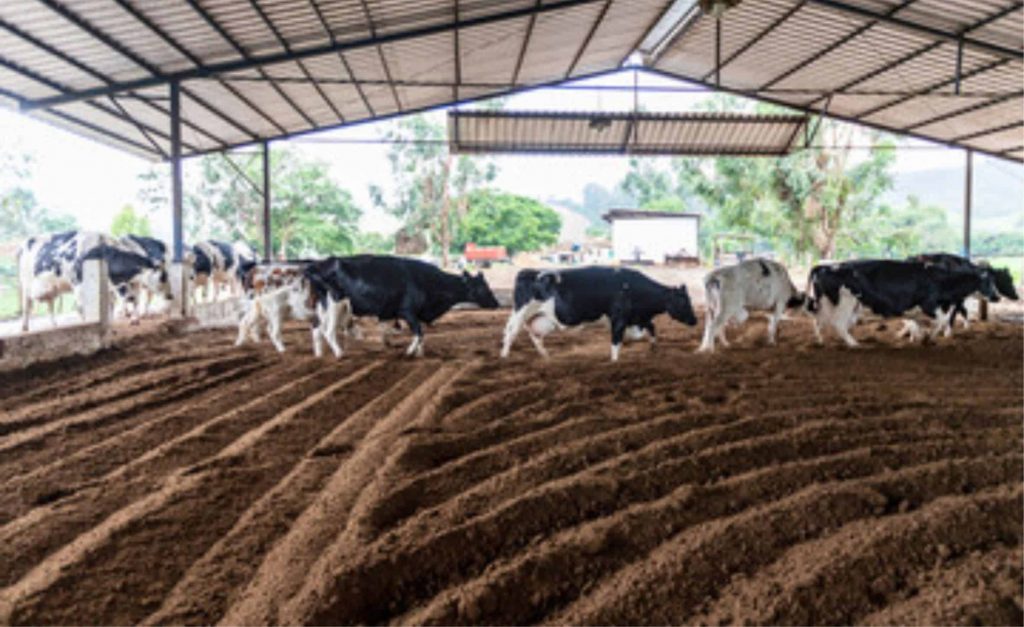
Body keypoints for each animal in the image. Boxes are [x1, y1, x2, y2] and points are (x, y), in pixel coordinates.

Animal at [301, 252, 497, 354]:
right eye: (482, 287)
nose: (496, 303)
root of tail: (319, 264)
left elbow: (413, 333)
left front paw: (418, 353)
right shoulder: (408, 312)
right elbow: (418, 332)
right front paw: (410, 352)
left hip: (322, 307)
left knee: (317, 328)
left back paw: (320, 355)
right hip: (335, 304)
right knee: (328, 331)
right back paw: (340, 354)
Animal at [501, 266, 700, 362]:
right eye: (684, 301)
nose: (695, 320)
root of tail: (529, 272)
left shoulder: (637, 318)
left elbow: (651, 329)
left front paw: (654, 349)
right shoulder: (619, 318)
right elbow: (616, 341)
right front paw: (614, 362)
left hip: (540, 318)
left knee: (534, 336)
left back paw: (546, 357)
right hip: (521, 312)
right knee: (511, 332)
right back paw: (504, 357)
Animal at [806, 259, 999, 348]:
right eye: (988, 282)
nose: (997, 297)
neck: (939, 278)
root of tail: (825, 266)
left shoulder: (915, 309)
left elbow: (915, 323)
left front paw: (918, 337)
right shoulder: (928, 305)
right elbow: (941, 321)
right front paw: (928, 337)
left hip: (830, 303)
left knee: (819, 320)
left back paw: (820, 342)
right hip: (846, 302)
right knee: (838, 324)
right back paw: (854, 344)